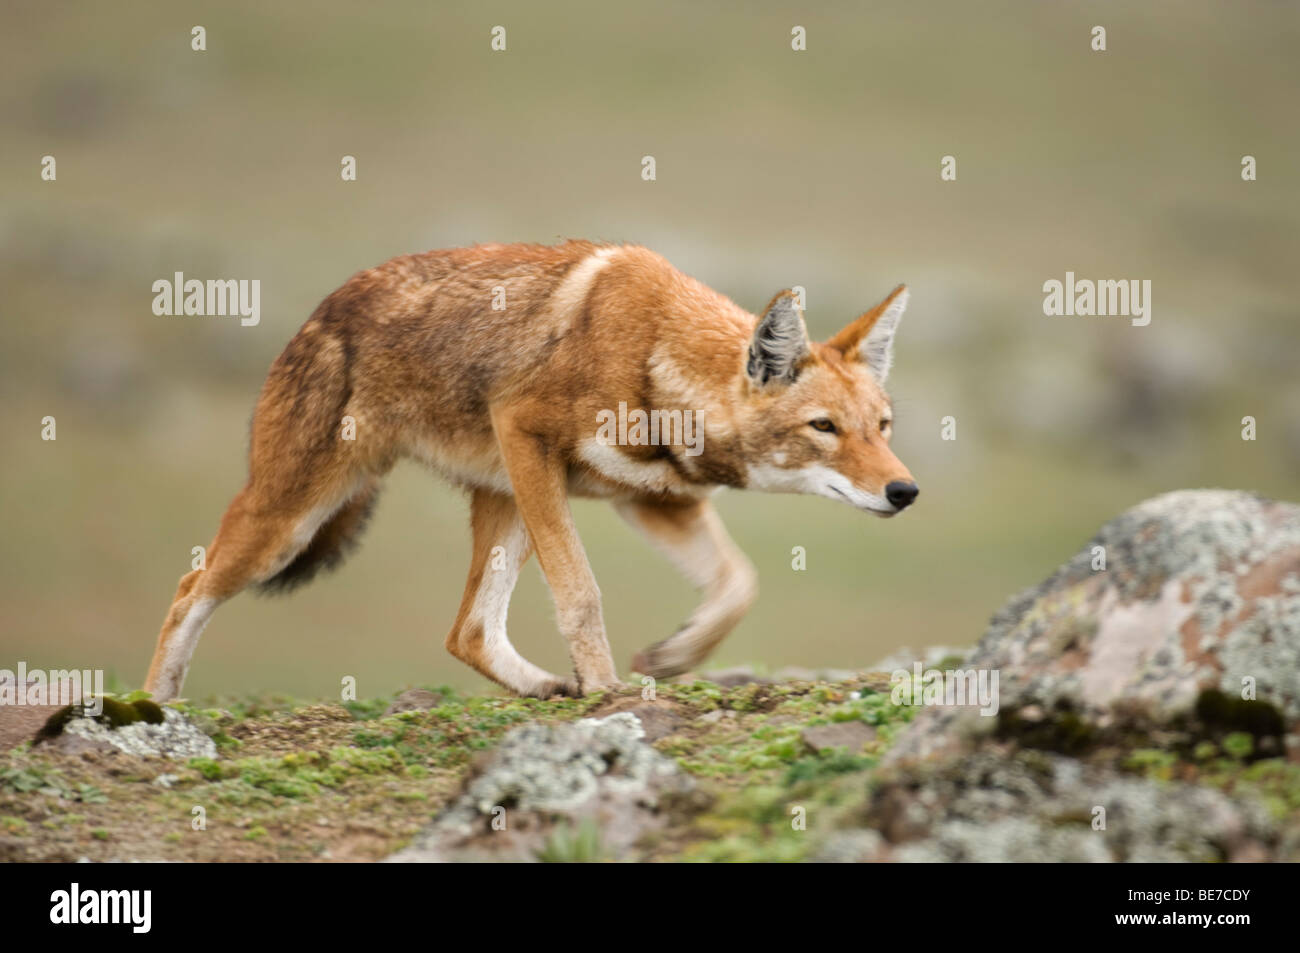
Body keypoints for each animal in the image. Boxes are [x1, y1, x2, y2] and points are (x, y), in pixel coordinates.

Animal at [144, 237, 915, 696]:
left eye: (881, 426)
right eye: (824, 427)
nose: (905, 490)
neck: (656, 355)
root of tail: (324, 309)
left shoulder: (655, 500)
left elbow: (739, 584)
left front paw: (672, 657)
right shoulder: (528, 434)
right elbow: (582, 597)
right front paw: (607, 696)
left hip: (505, 502)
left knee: (467, 632)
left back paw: (545, 687)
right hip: (291, 519)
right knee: (186, 589)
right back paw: (155, 711)